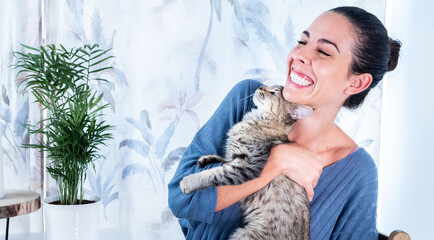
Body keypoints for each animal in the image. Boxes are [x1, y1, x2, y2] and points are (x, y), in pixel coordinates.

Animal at [179, 85, 312, 239]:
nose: (261, 87)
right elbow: (223, 160)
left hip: (242, 235)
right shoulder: (234, 156)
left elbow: (213, 174)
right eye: (270, 87)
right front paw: (206, 159)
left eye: (273, 93)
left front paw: (188, 182)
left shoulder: (247, 166)